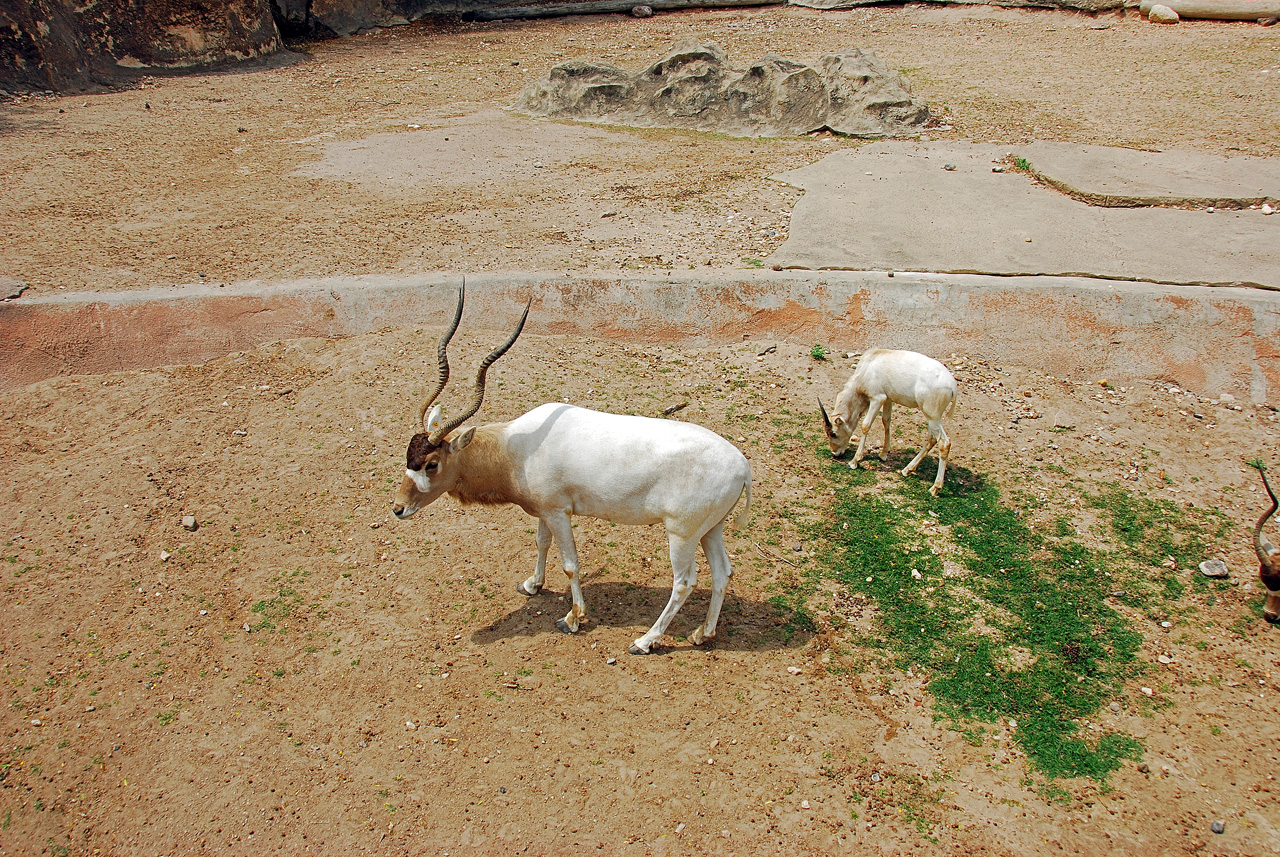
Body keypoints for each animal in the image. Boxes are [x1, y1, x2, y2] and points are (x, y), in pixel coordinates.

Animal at [389, 289, 747, 660]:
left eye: (431, 463)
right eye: (408, 455)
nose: (398, 508)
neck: (514, 449)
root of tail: (743, 467)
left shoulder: (559, 513)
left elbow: (571, 563)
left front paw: (573, 618)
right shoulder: (545, 511)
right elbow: (540, 542)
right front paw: (532, 585)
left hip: (681, 533)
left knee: (684, 583)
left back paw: (644, 641)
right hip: (711, 529)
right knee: (723, 573)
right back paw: (702, 634)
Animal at [824, 347, 957, 496]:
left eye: (833, 434)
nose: (835, 454)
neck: (868, 366)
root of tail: (953, 386)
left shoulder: (877, 398)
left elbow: (865, 425)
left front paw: (854, 461)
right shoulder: (888, 398)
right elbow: (886, 420)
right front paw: (883, 454)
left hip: (932, 416)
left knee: (944, 443)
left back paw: (935, 488)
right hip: (933, 418)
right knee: (932, 438)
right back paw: (907, 470)